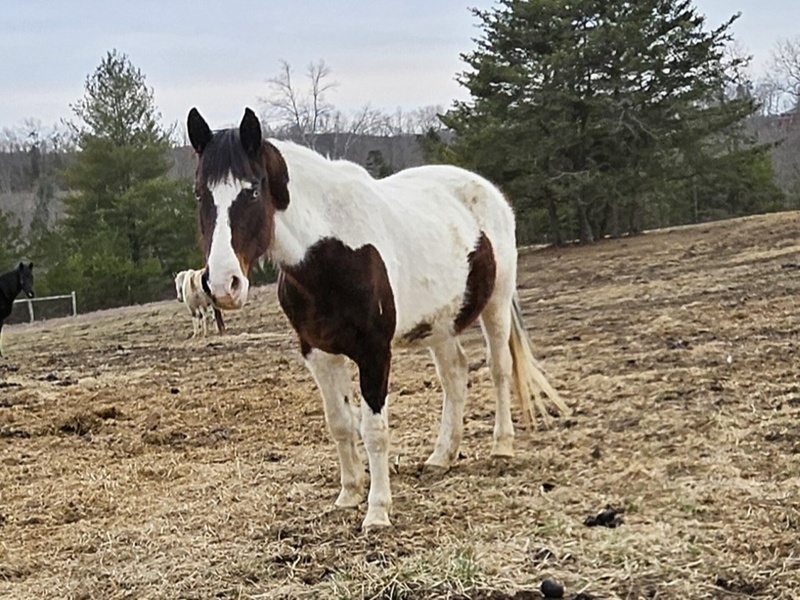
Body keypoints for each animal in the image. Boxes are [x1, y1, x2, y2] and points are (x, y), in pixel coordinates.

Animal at [186, 107, 569, 529]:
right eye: (200, 193)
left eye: (253, 190)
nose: (223, 284)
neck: (330, 252)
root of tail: (488, 191)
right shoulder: (318, 353)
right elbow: (340, 423)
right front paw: (349, 494)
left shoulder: (374, 352)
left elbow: (373, 429)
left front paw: (377, 511)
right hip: (440, 325)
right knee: (455, 374)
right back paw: (442, 456)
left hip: (496, 305)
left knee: (500, 368)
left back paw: (502, 446)